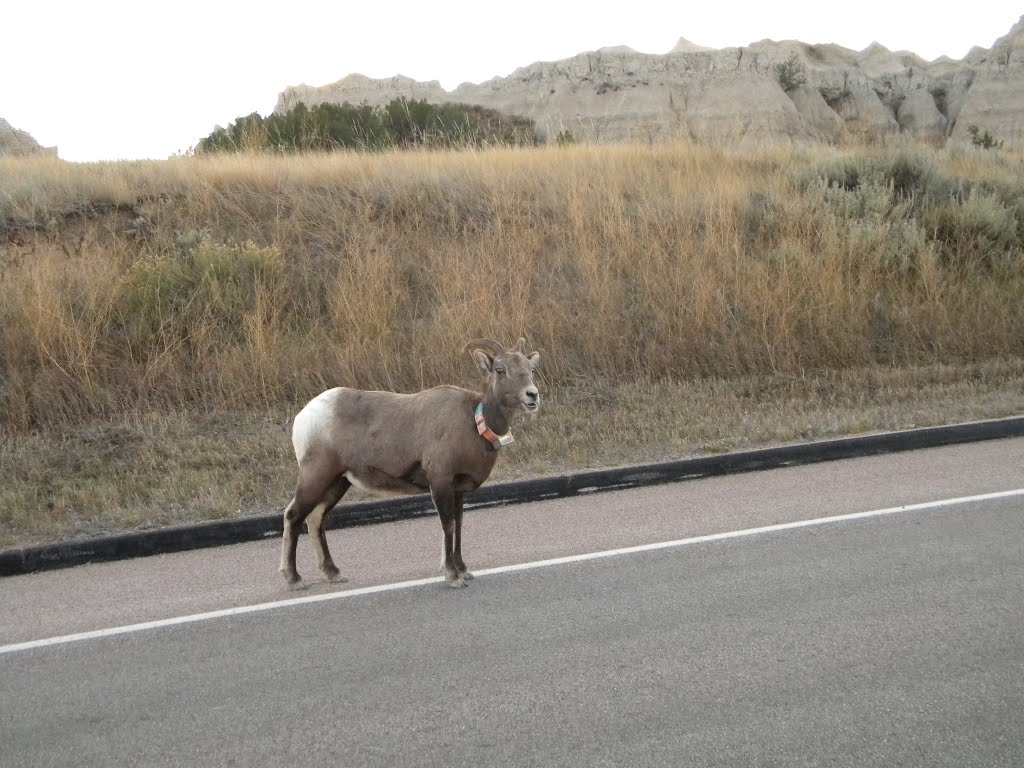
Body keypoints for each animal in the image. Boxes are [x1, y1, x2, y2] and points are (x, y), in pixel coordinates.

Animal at [276, 335, 540, 589]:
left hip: (338, 482)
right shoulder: (441, 483)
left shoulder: (458, 491)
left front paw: (464, 570)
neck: (475, 423)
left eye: (529, 368)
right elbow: (448, 526)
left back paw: (334, 574)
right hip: (316, 476)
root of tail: (303, 417)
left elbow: (459, 527)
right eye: (500, 369)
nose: (532, 395)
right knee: (293, 515)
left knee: (315, 519)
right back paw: (294, 579)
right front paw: (453, 576)